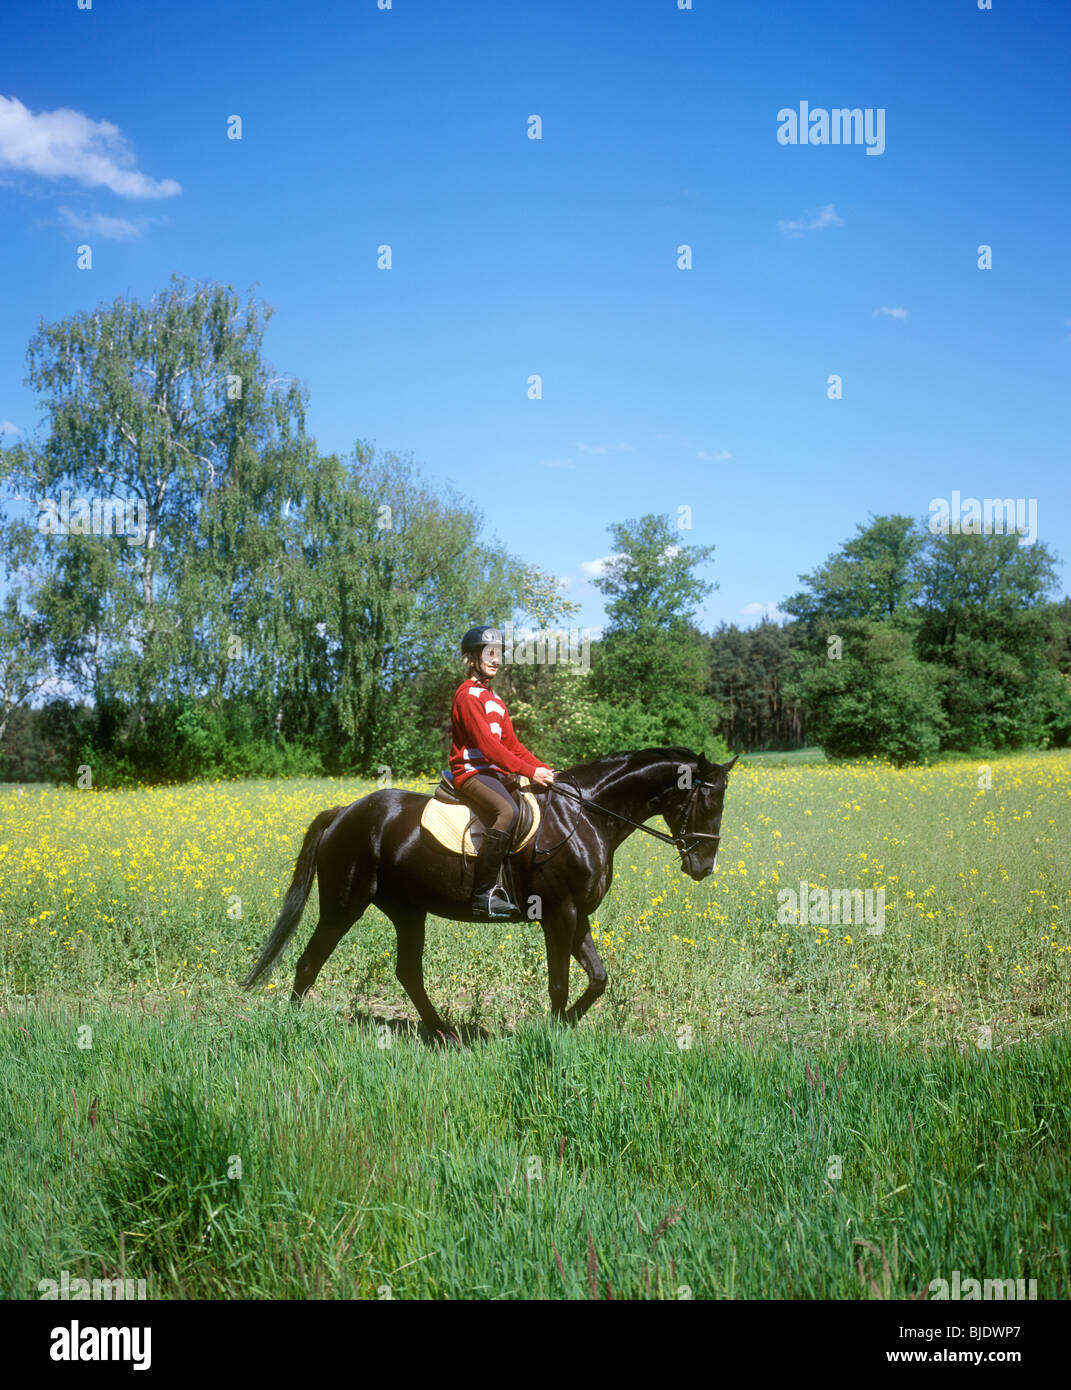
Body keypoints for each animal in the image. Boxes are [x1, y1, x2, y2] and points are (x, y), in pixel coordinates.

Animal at [243, 745, 739, 1039]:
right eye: (706, 800)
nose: (704, 867)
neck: (585, 816)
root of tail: (345, 811)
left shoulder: (578, 914)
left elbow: (598, 979)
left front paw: (564, 1027)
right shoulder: (559, 912)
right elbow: (559, 982)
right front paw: (552, 1035)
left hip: (407, 910)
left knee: (408, 972)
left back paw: (443, 1033)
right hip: (344, 904)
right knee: (309, 962)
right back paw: (292, 1027)